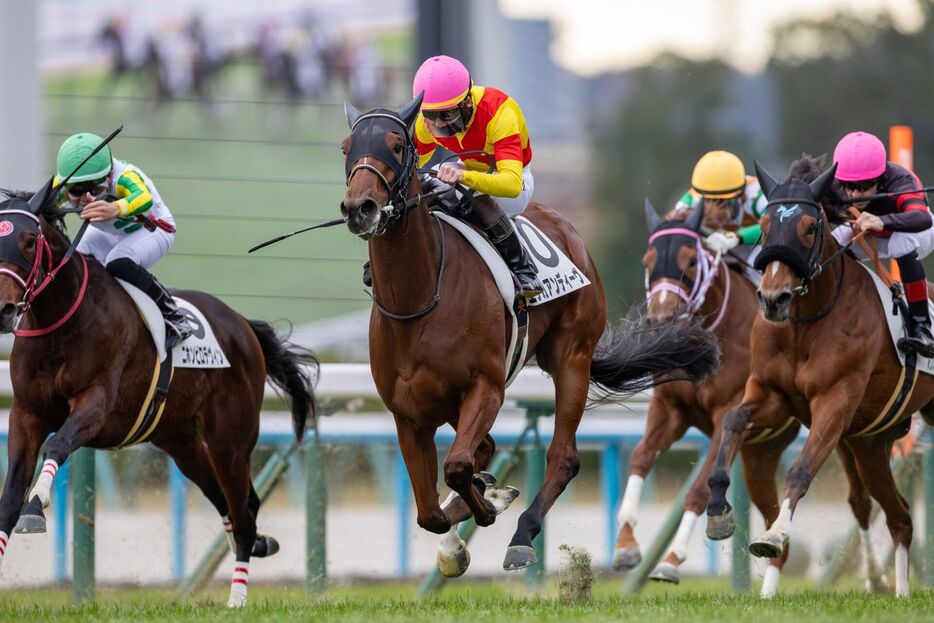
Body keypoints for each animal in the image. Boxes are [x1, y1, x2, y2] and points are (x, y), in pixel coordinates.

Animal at [0, 188, 318, 608]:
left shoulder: (95, 404)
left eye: (28, 241)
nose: (4, 309)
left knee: (243, 511)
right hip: (179, 440)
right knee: (227, 501)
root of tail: (242, 324)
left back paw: (237, 597)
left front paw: (36, 506)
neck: (60, 322)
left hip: (230, 440)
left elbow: (57, 445)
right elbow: (8, 498)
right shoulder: (26, 414)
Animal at [340, 95, 720, 576]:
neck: (418, 301)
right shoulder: (407, 413)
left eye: (395, 144)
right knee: (482, 451)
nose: (360, 207)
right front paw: (464, 528)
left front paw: (487, 510)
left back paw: (520, 533)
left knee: (562, 457)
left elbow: (457, 467)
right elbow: (430, 510)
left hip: (571, 358)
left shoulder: (485, 387)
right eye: (346, 146)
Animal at [616, 199, 804, 596]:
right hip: (760, 454)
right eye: (648, 260)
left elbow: (700, 488)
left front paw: (671, 562)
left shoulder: (726, 415)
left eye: (690, 261)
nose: (661, 319)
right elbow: (640, 457)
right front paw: (626, 544)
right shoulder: (668, 408)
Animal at [704, 154, 932, 596]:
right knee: (899, 515)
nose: (772, 299)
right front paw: (718, 510)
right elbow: (734, 422)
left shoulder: (835, 399)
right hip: (870, 444)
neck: (805, 324)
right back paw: (897, 588)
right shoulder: (771, 394)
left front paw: (774, 535)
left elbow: (801, 470)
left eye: (810, 227)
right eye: (765, 224)